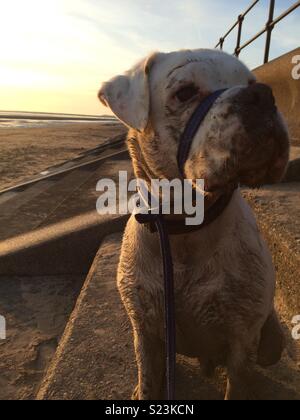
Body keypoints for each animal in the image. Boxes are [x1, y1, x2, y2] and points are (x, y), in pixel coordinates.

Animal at [98, 49, 288, 400]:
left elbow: (238, 383)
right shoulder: (145, 330)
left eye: (252, 81)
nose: (262, 95)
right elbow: (148, 377)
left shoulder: (242, 340)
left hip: (271, 342)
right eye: (185, 92)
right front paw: (146, 388)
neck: (184, 228)